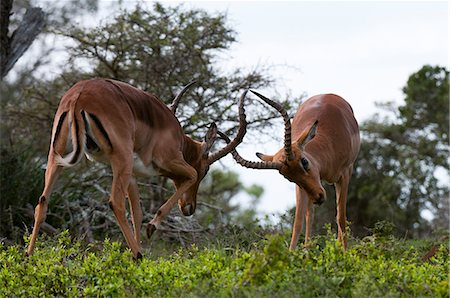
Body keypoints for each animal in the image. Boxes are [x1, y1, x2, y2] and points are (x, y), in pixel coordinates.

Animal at [26, 79, 248, 258]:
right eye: (206, 170)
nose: (189, 208)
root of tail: (79, 96)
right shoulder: (169, 160)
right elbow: (191, 175)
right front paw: (152, 227)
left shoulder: (132, 174)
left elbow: (137, 214)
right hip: (121, 157)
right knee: (115, 203)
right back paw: (138, 255)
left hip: (57, 154)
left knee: (42, 201)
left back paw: (29, 257)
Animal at [222, 91, 362, 249]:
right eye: (289, 177)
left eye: (304, 161)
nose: (319, 197)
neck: (328, 145)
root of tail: (328, 94)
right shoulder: (301, 186)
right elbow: (298, 222)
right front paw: (293, 252)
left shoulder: (345, 175)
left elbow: (341, 217)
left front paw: (343, 252)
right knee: (309, 215)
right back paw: (307, 248)